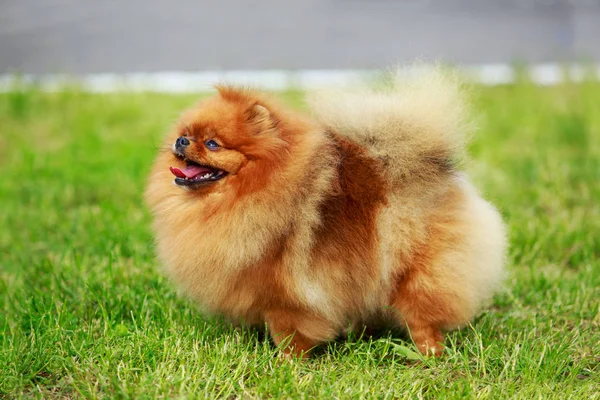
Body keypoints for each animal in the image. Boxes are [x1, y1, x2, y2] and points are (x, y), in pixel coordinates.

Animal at [145, 68, 506, 356]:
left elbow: (289, 331)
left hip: (416, 275)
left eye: (213, 144)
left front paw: (287, 362)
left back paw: (429, 353)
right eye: (186, 134)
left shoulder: (287, 297)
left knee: (423, 317)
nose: (180, 142)